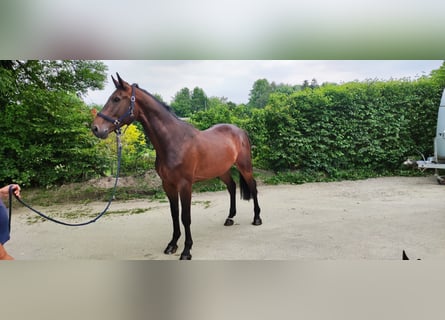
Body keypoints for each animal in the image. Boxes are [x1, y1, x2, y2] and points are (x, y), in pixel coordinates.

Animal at [91, 73, 262, 260]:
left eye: (116, 99)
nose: (95, 128)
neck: (174, 141)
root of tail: (240, 131)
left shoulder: (185, 185)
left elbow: (185, 217)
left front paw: (187, 250)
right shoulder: (168, 185)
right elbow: (174, 215)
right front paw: (172, 245)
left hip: (245, 167)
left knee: (253, 187)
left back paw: (257, 218)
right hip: (221, 170)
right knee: (231, 187)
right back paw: (230, 218)